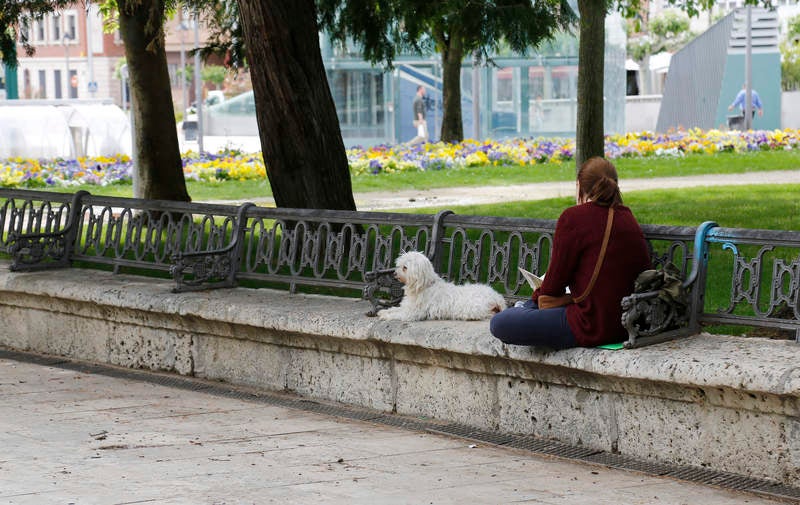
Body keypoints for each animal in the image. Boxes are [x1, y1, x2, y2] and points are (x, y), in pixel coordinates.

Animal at [376, 250, 506, 320]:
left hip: (472, 309)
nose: (394, 273)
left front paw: (386, 316)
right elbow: (396, 309)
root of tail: (497, 298)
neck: (423, 286)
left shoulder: (413, 312)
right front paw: (385, 311)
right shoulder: (407, 306)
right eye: (399, 265)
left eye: (405, 268)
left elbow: (400, 314)